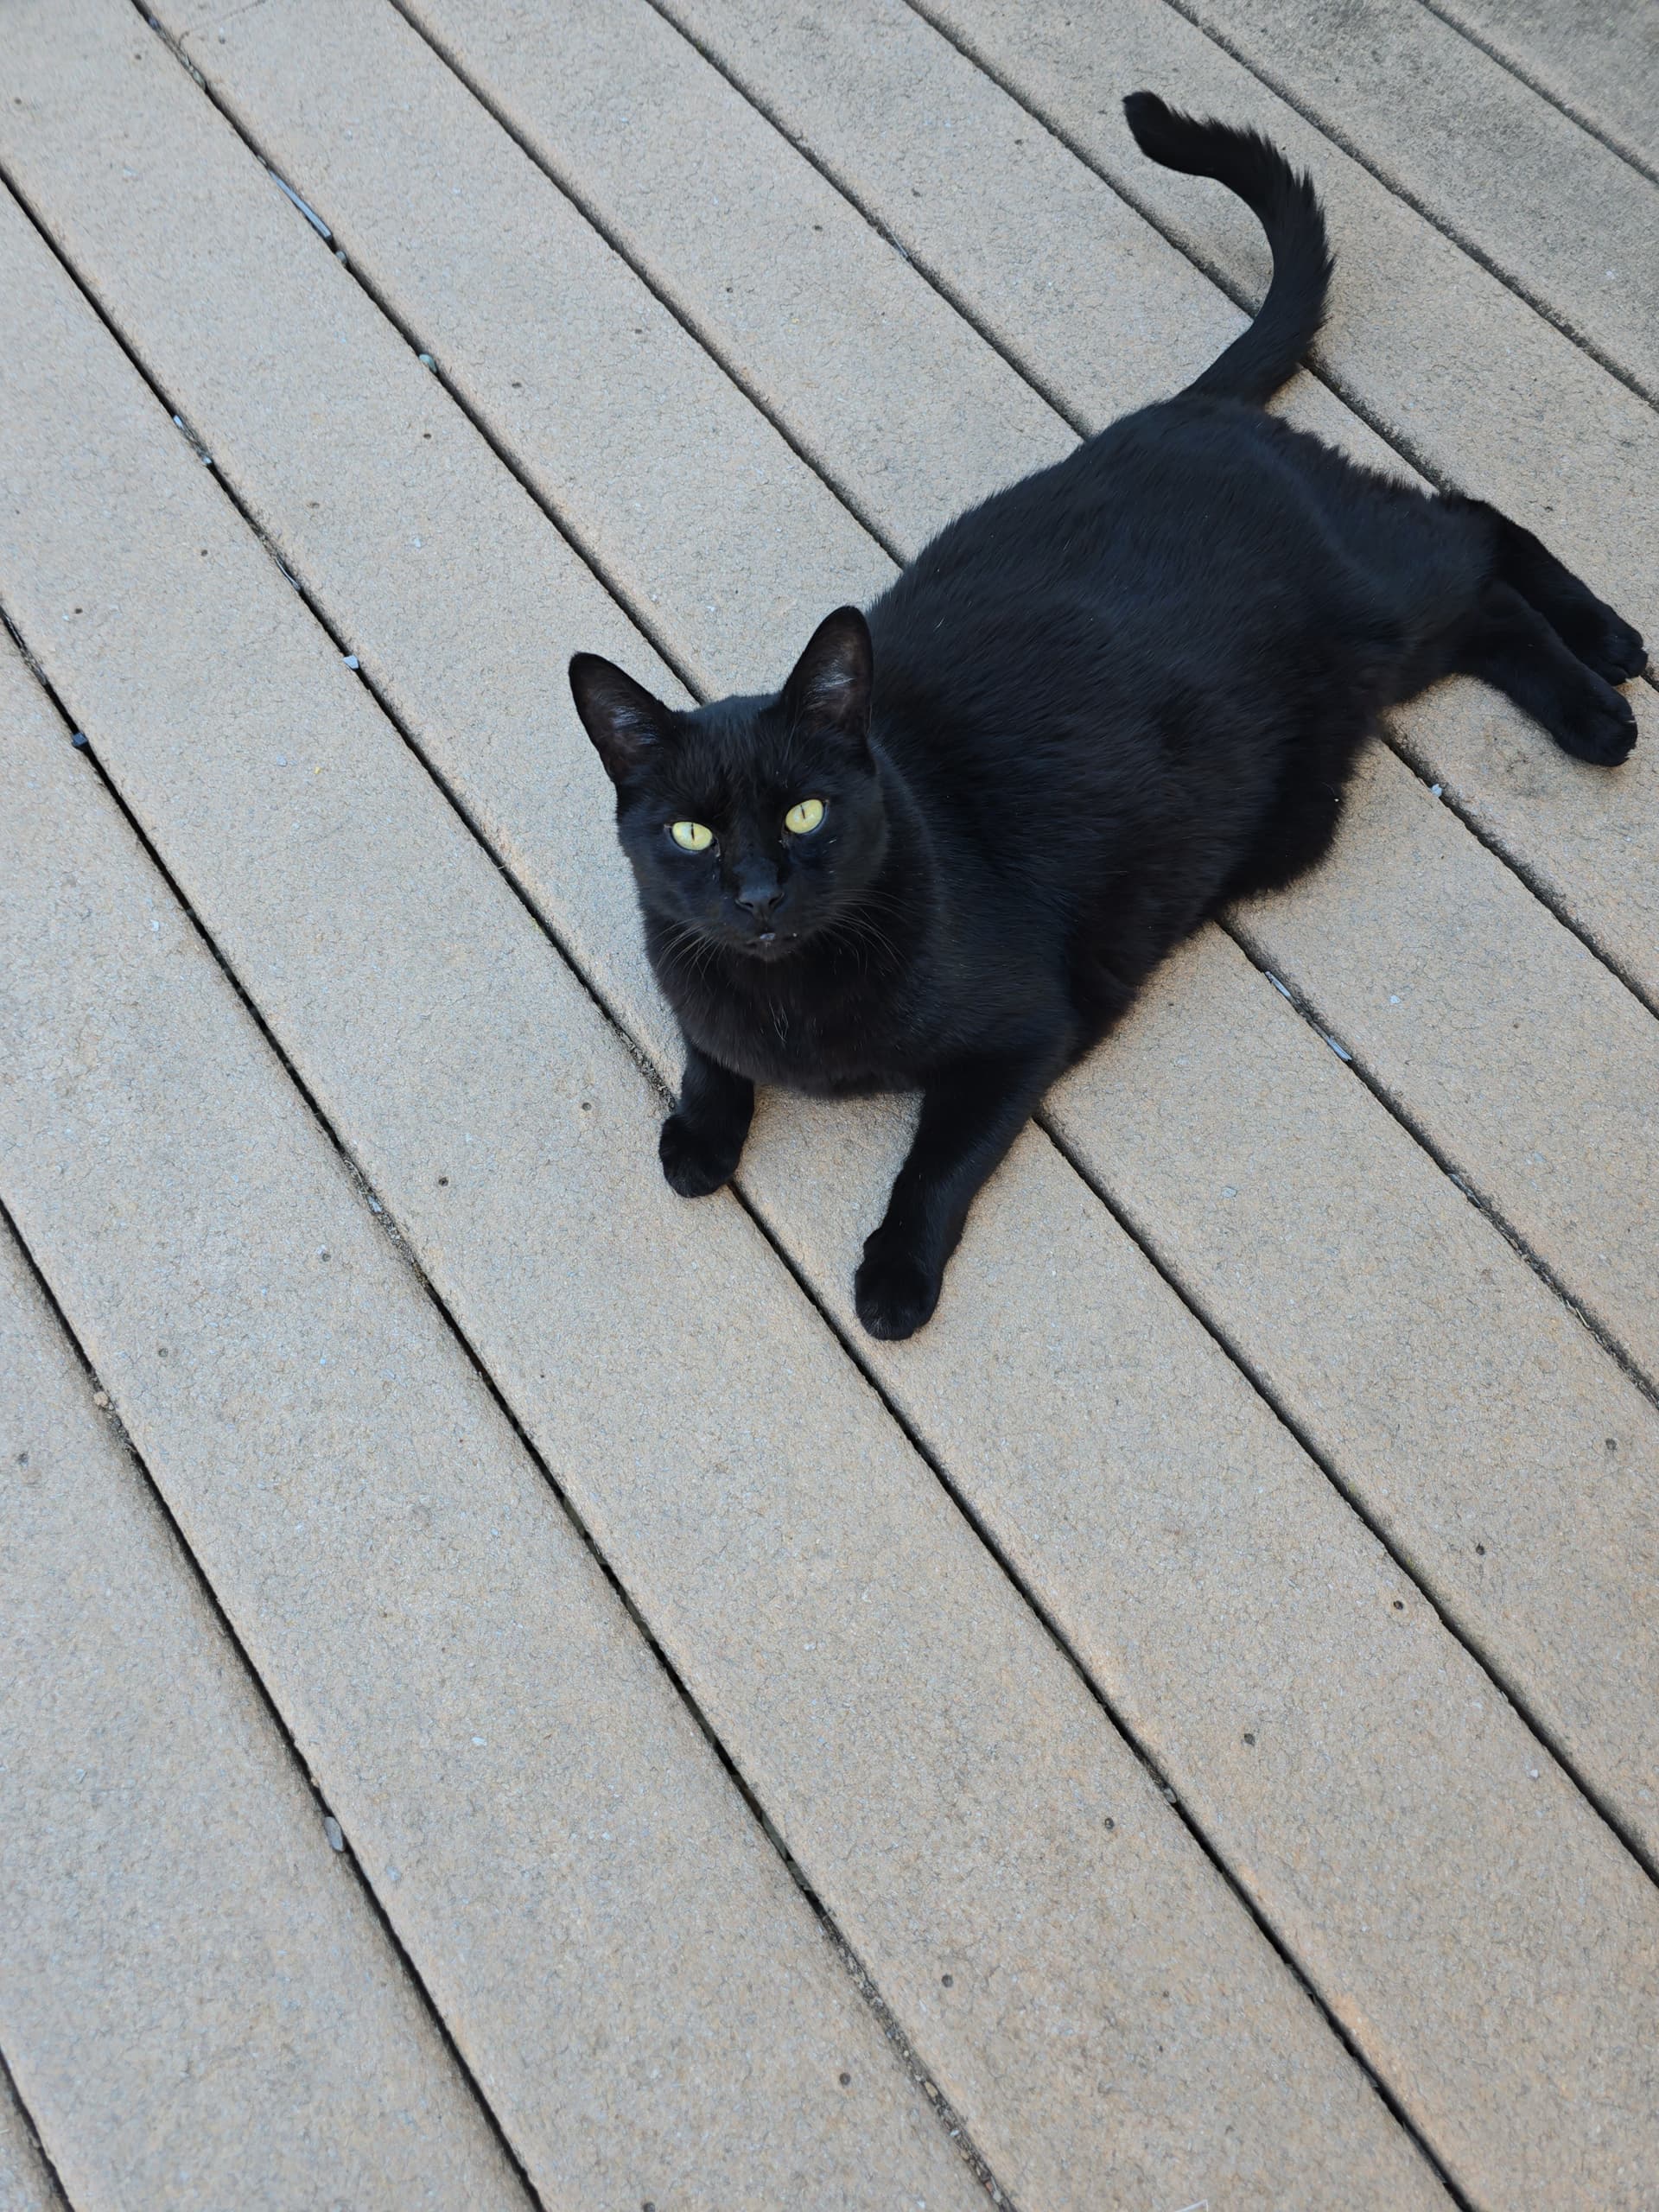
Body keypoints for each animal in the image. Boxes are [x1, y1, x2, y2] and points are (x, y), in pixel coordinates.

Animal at [570, 91, 1645, 1343]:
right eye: (690, 834)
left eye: (803, 815)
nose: (754, 895)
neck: (788, 1003)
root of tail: (1191, 408)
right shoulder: (697, 977)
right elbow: (706, 1053)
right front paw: (699, 1135)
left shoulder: (1026, 1033)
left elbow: (938, 1162)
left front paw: (894, 1276)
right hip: (1383, 658)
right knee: (1484, 595)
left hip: (1387, 593)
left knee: (1478, 528)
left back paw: (1604, 687)